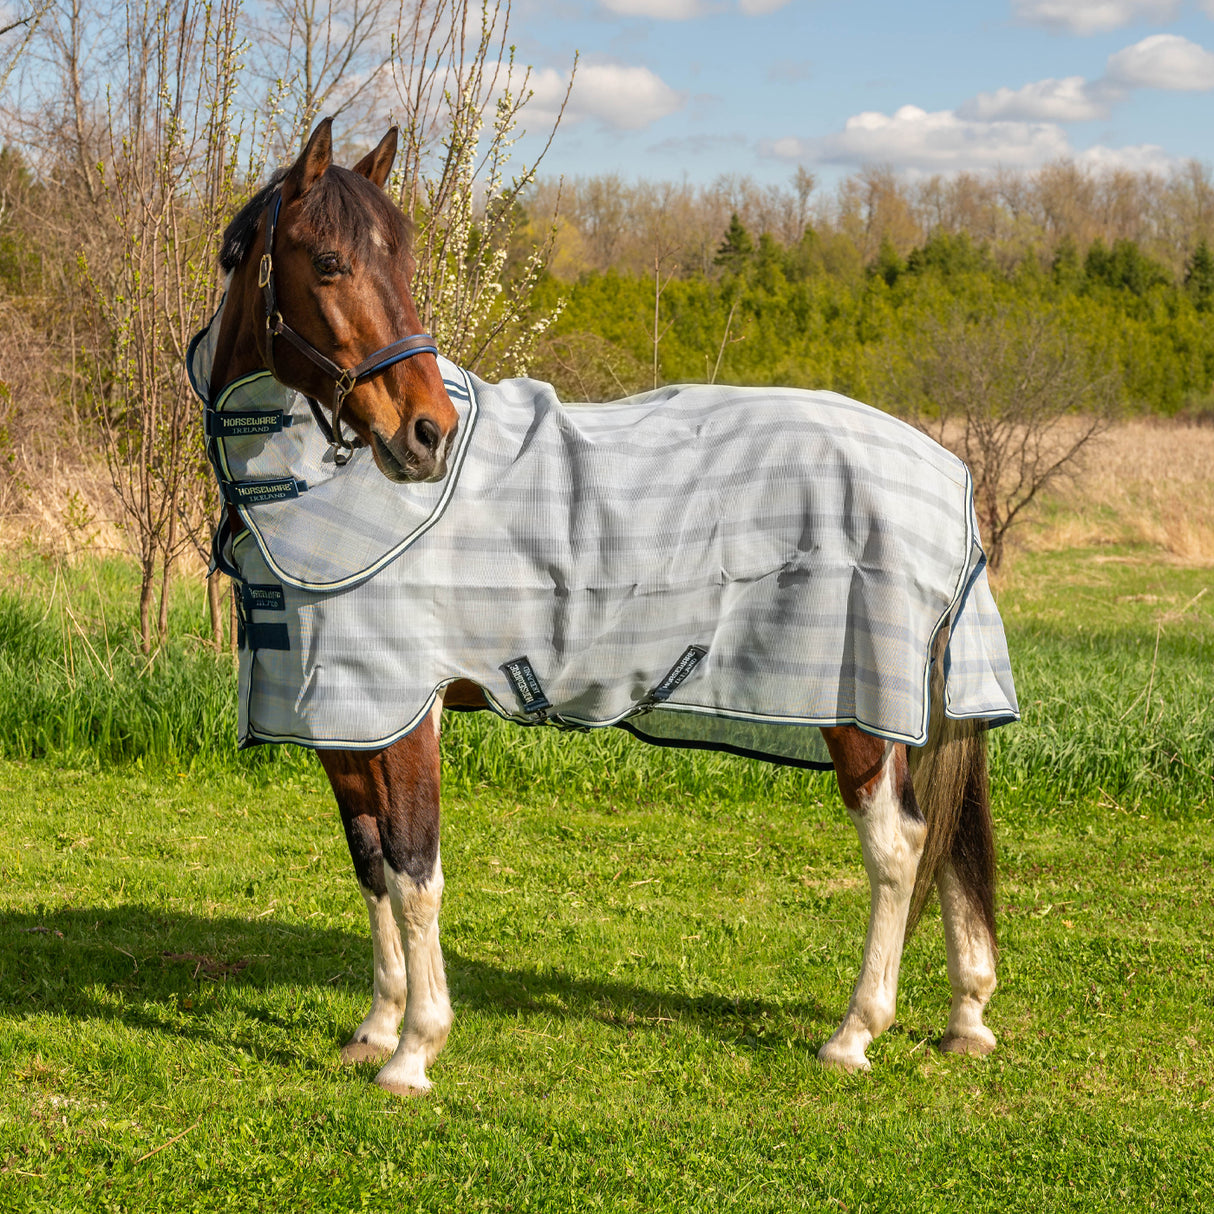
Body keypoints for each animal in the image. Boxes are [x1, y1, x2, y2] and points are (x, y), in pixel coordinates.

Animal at [199, 118, 1007, 1096]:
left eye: (407, 258)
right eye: (326, 262)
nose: (427, 436)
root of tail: (944, 470)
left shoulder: (403, 714)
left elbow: (416, 871)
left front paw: (416, 1049)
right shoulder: (340, 718)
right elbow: (372, 866)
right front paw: (377, 1024)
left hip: (858, 710)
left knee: (898, 849)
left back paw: (855, 1032)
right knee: (951, 844)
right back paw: (966, 1018)